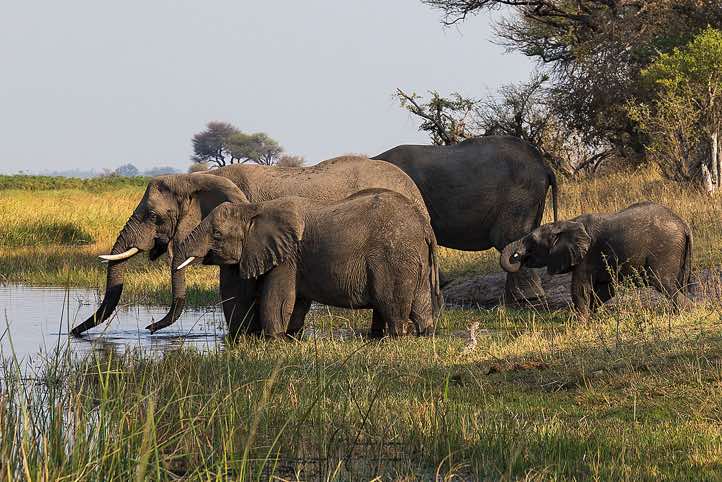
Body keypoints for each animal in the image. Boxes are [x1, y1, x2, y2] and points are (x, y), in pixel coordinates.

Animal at [173, 189, 443, 338]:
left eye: (217, 235)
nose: (155, 329)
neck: (253, 208)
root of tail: (424, 226)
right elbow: (296, 305)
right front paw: (288, 336)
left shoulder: (288, 257)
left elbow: (277, 302)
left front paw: (274, 339)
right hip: (413, 259)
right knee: (420, 308)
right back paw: (425, 334)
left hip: (394, 258)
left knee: (392, 307)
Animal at [500, 201, 693, 319]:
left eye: (532, 241)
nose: (516, 256)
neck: (565, 223)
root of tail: (684, 225)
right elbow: (605, 289)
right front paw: (590, 316)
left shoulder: (586, 256)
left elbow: (580, 288)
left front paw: (580, 322)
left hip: (664, 248)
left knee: (662, 282)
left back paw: (684, 312)